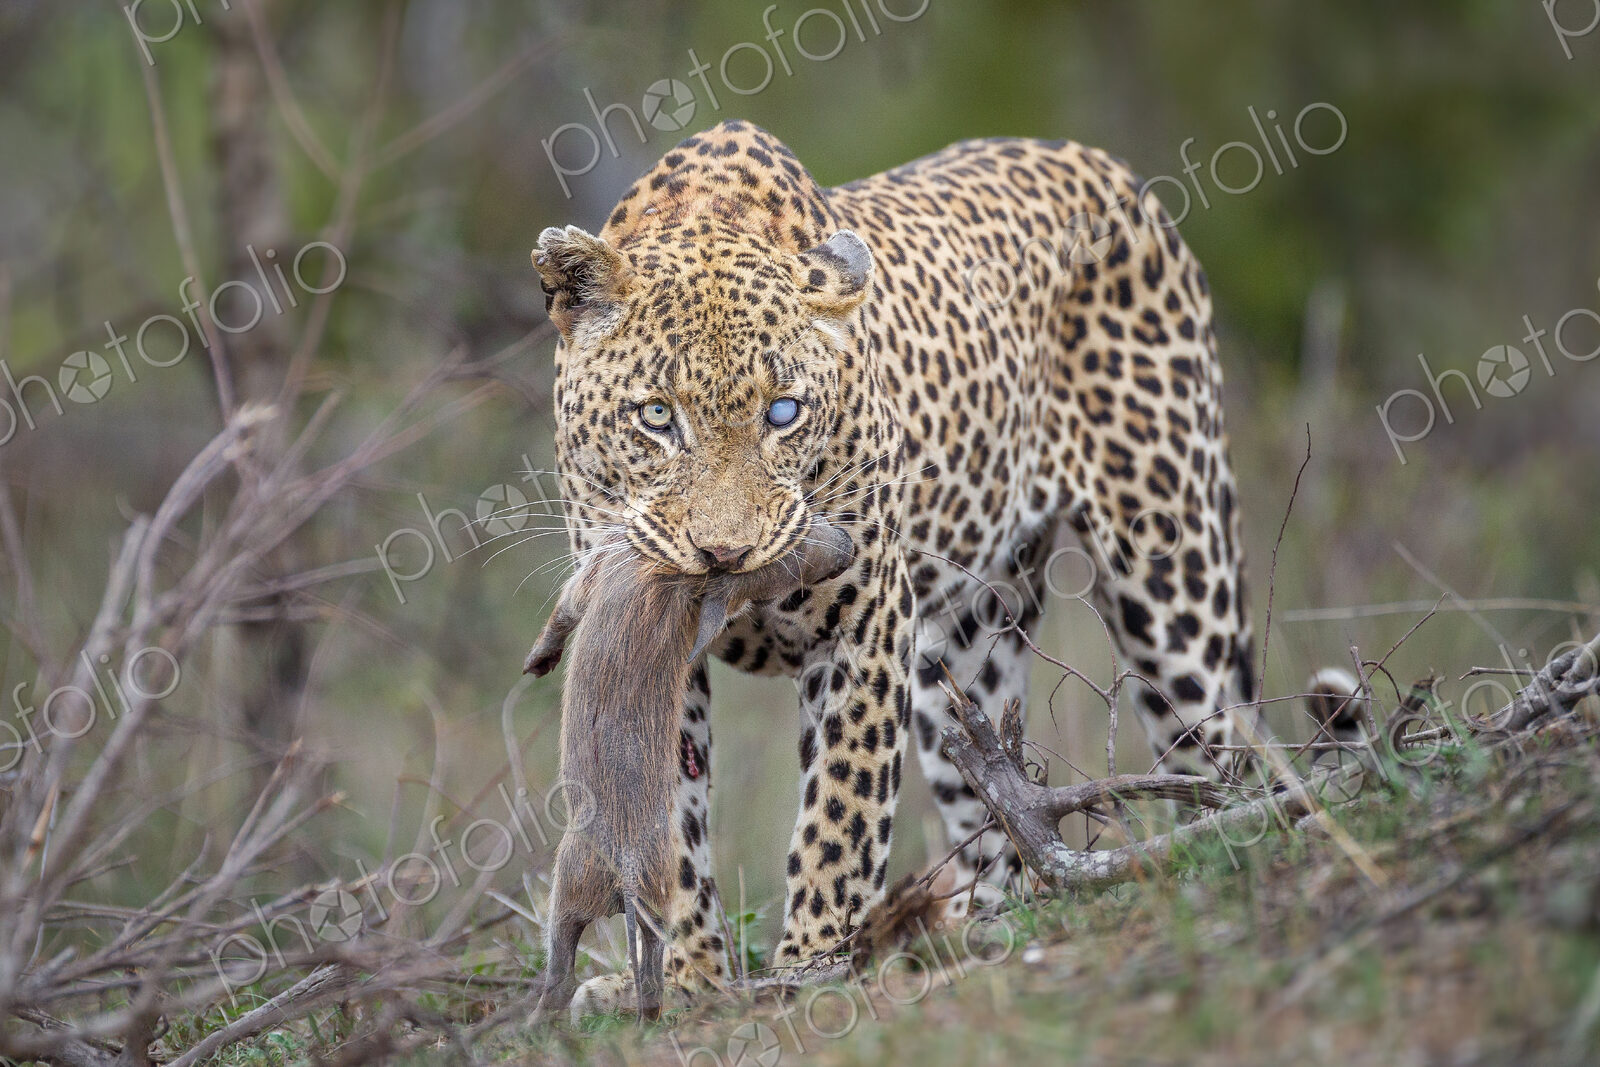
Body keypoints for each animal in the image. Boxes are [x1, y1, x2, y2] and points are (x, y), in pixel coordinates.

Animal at [530, 119, 1362, 1014]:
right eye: (656, 416)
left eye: (782, 412)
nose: (727, 554)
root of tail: (1102, 165)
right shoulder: (658, 644)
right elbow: (670, 816)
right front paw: (690, 977)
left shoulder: (866, 621)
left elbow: (842, 809)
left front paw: (807, 965)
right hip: (964, 650)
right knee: (996, 808)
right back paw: (974, 923)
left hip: (1172, 578)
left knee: (1221, 758)